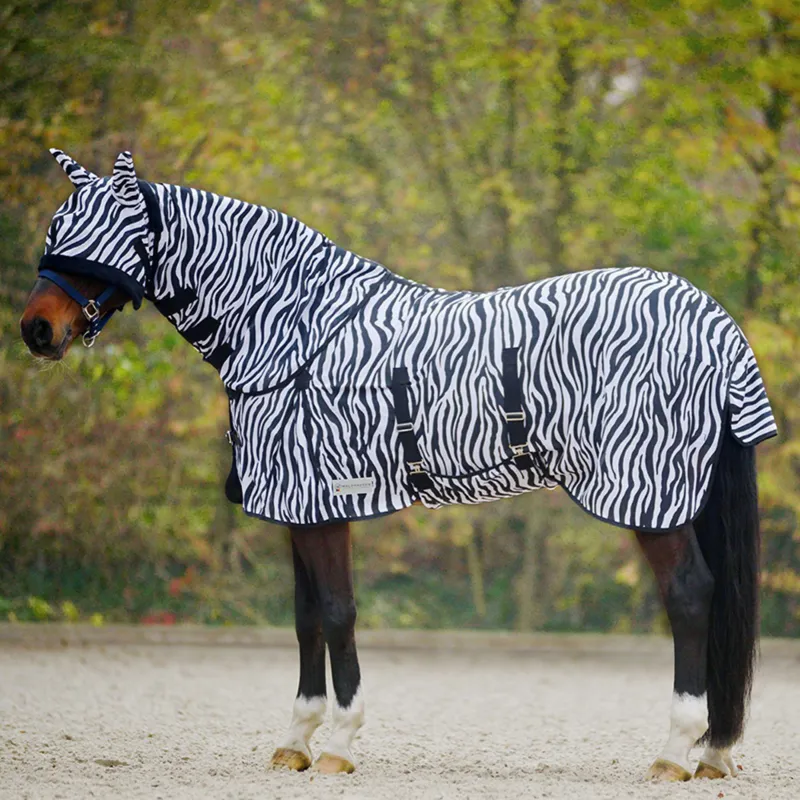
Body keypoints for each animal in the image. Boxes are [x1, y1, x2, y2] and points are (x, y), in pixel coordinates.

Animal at [21, 149, 776, 781]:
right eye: (58, 225)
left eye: (100, 237)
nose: (36, 330)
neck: (294, 330)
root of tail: (713, 322)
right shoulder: (300, 507)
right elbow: (305, 615)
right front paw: (295, 741)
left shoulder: (325, 500)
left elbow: (337, 612)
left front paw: (338, 744)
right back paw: (712, 753)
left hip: (652, 495)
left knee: (690, 596)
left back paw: (675, 752)